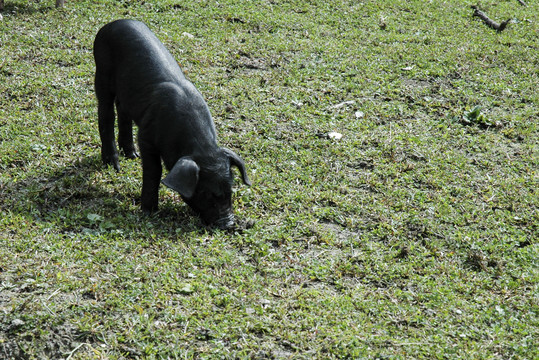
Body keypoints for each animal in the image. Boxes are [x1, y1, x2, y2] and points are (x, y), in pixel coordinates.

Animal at [93, 19, 251, 228]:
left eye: (230, 191)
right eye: (205, 193)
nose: (229, 224)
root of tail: (113, 23)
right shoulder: (146, 136)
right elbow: (154, 171)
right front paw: (149, 212)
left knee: (122, 110)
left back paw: (132, 156)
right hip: (101, 71)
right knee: (105, 113)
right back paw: (114, 165)